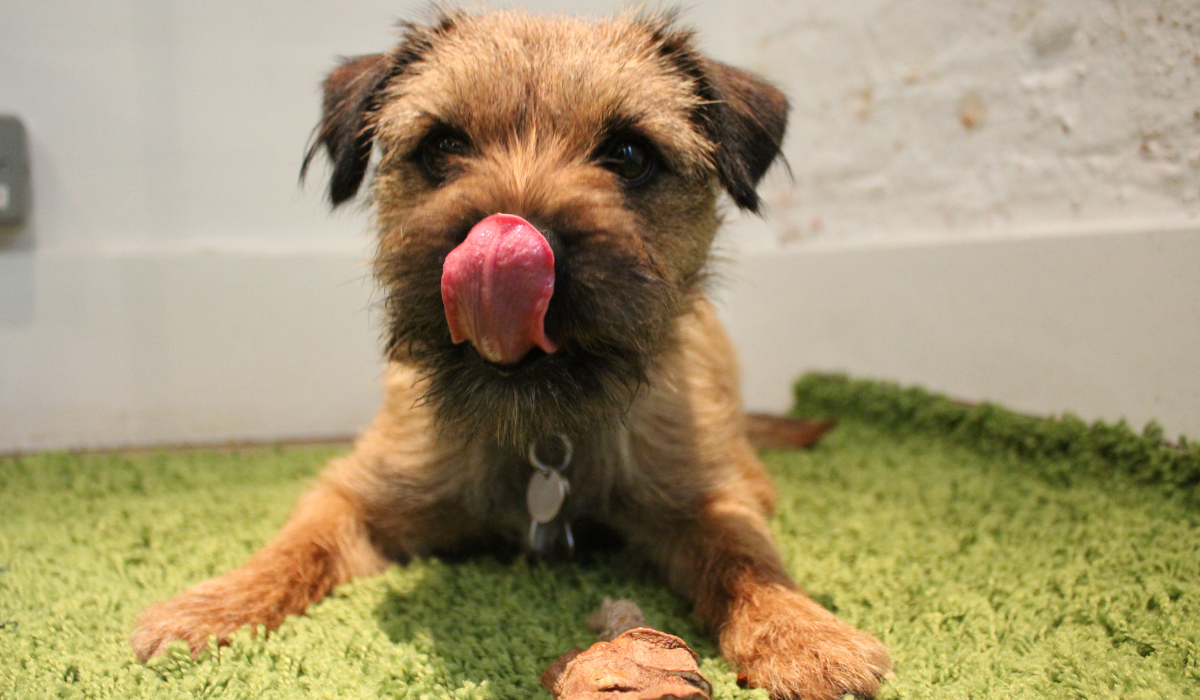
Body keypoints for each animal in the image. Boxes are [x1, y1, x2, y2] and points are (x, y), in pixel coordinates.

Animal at [131, 10, 892, 700]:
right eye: (442, 146)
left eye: (630, 155)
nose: (512, 242)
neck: (538, 431)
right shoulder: (355, 491)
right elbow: (296, 545)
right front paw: (208, 607)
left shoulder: (706, 495)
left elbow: (744, 553)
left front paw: (805, 635)